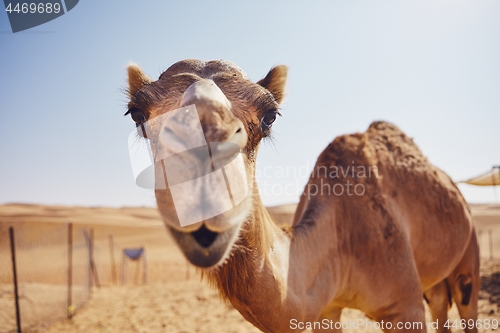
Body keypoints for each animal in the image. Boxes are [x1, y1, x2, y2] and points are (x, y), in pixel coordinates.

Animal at [125, 58, 480, 330]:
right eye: (137, 114)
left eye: (270, 115)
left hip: (467, 258)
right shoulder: (326, 310)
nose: (201, 187)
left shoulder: (404, 306)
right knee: (440, 303)